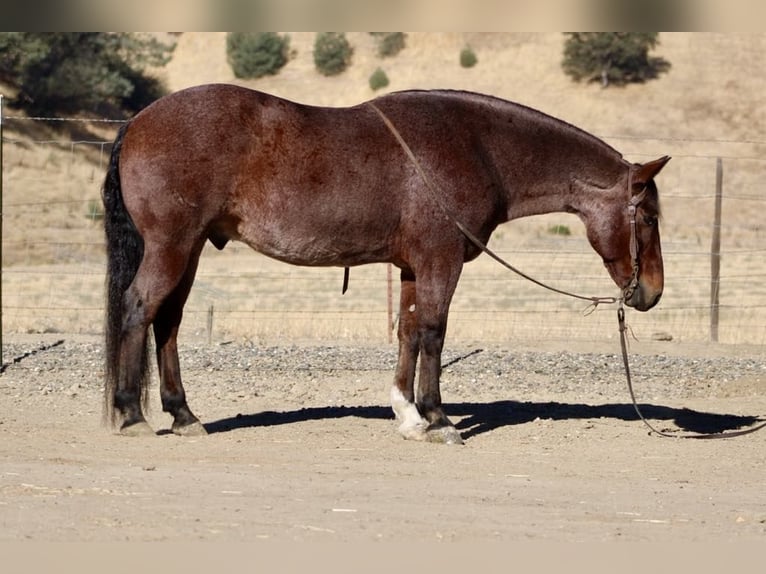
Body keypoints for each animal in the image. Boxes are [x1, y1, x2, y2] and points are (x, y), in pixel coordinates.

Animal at [103, 84, 672, 446]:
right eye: (647, 217)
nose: (651, 292)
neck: (477, 147)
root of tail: (138, 123)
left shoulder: (412, 266)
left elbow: (408, 333)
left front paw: (408, 415)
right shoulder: (441, 259)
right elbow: (435, 332)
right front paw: (439, 419)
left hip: (191, 248)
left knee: (168, 322)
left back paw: (182, 414)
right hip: (173, 246)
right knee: (138, 308)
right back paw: (131, 414)